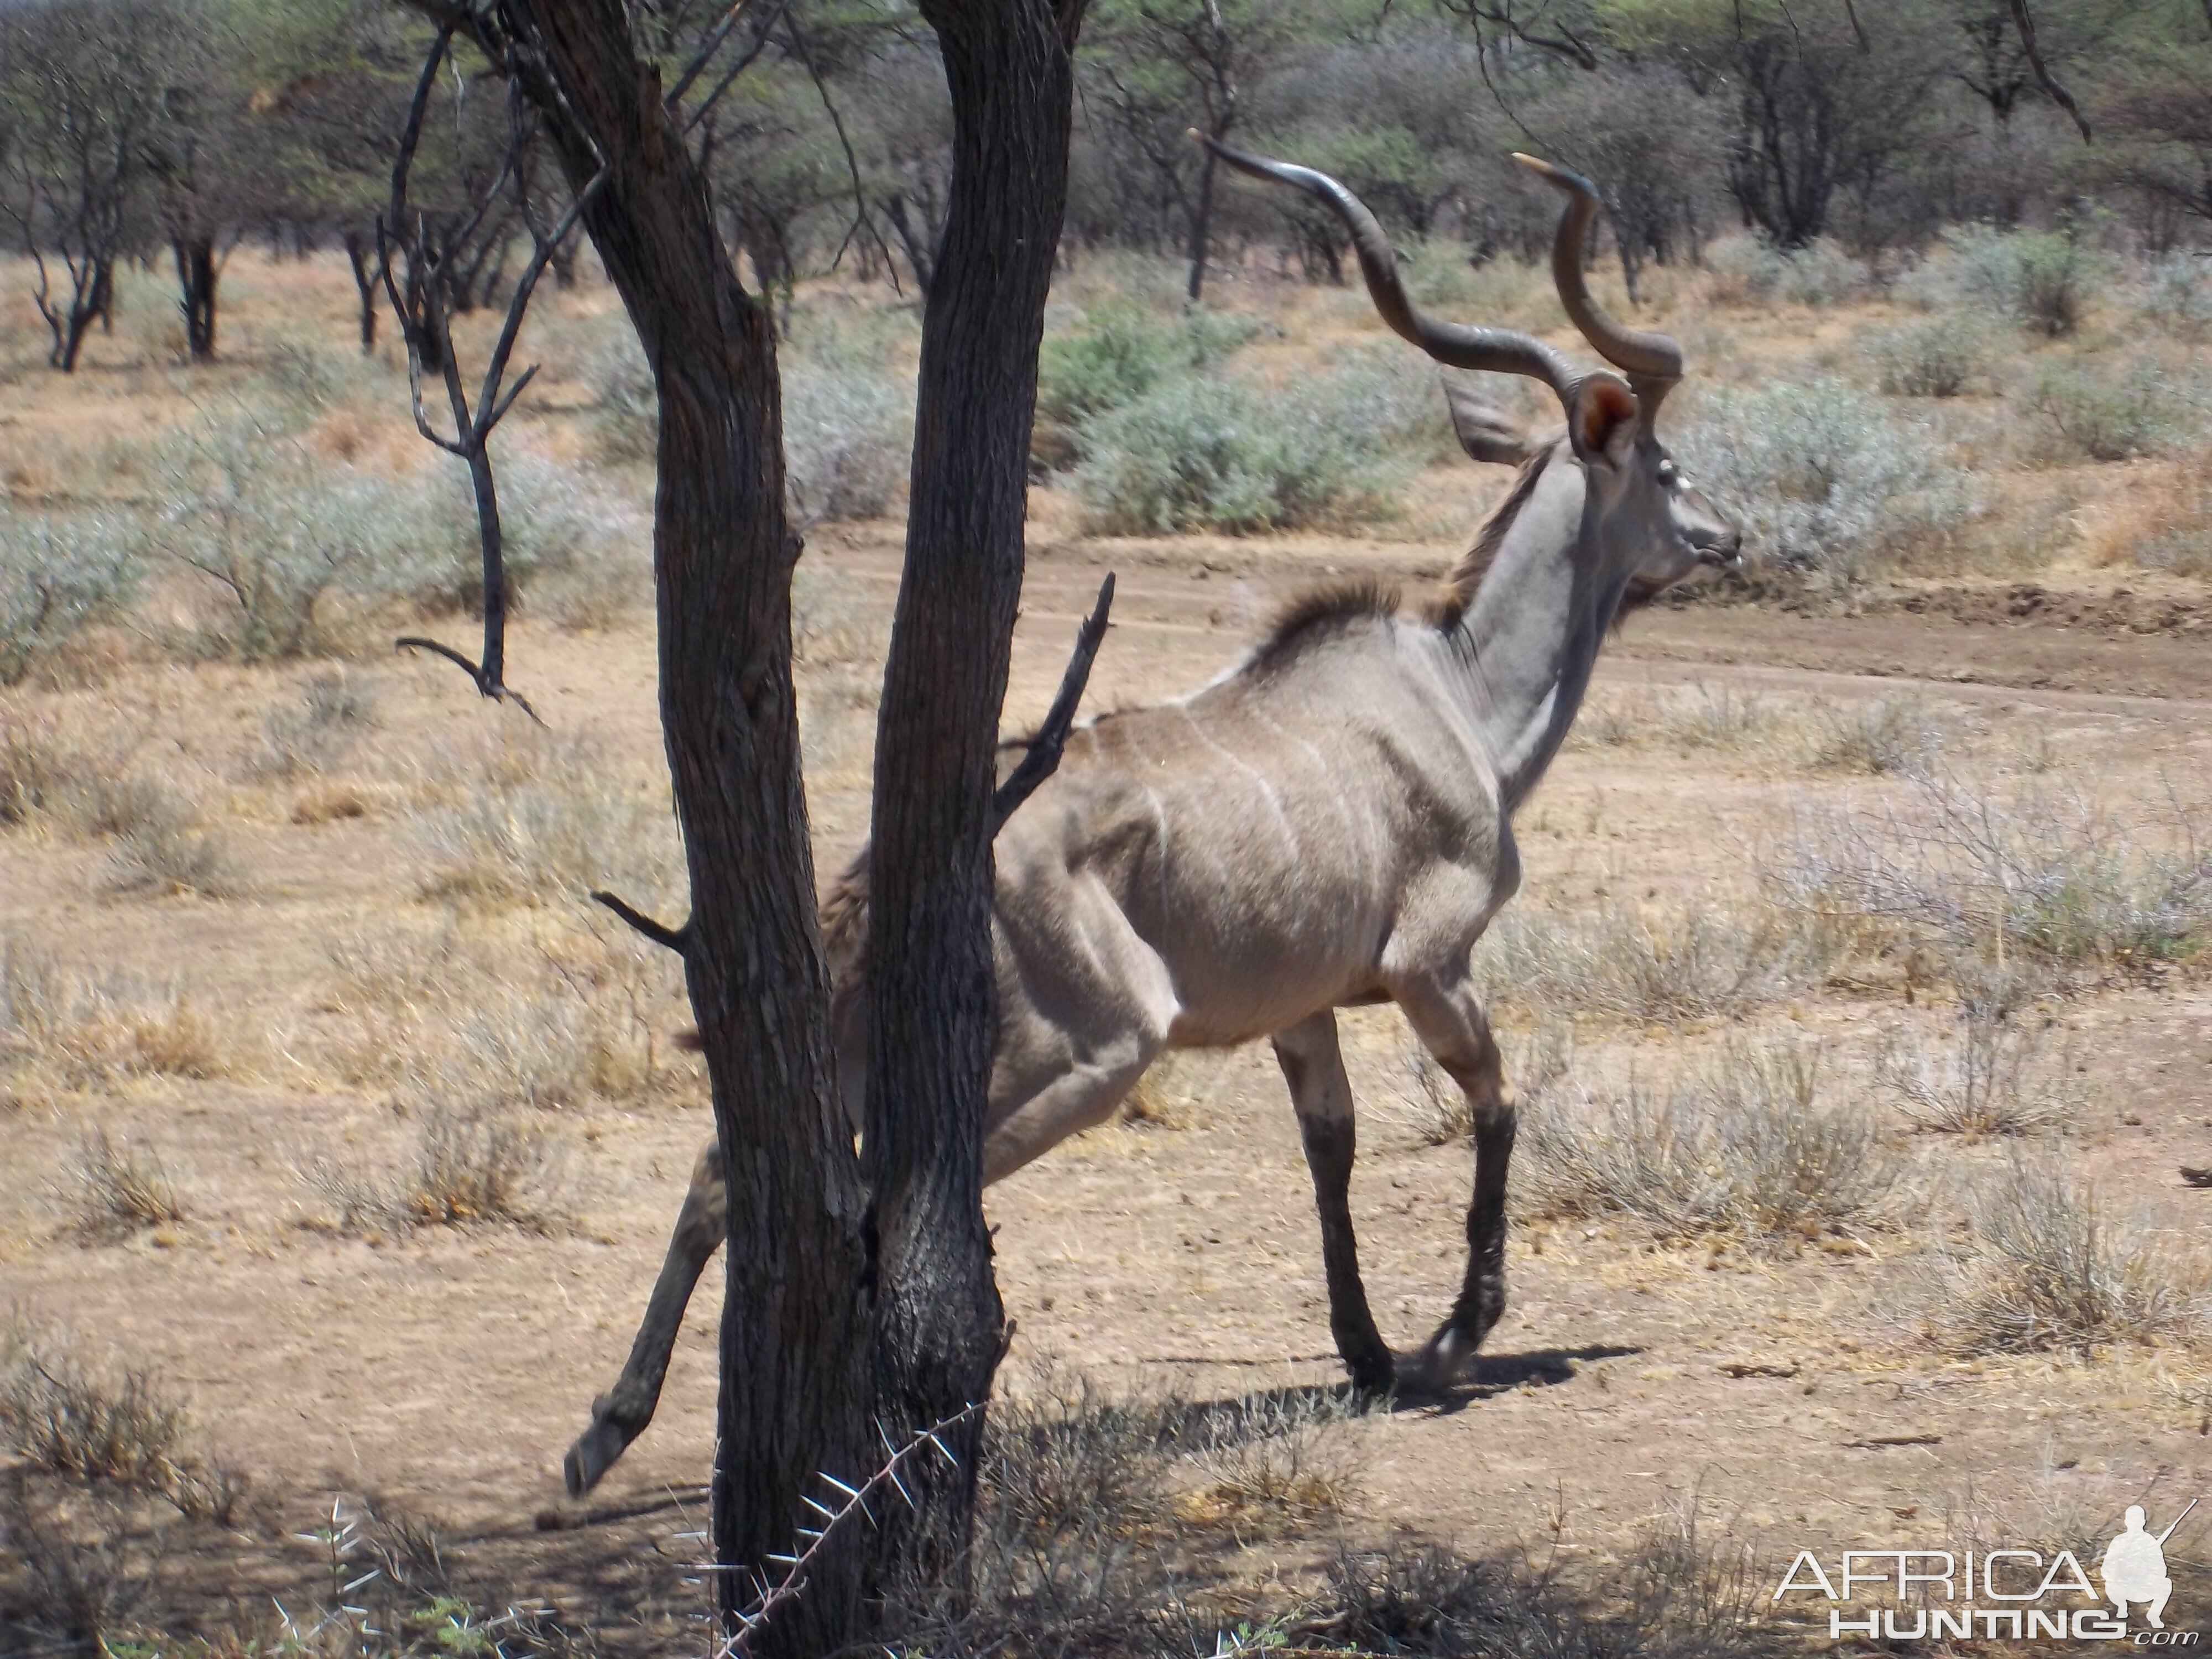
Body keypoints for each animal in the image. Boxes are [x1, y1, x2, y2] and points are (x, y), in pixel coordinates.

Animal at [571, 143, 1743, 1504]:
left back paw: (601, 1435)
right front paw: (1454, 1336)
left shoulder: (1302, 1011)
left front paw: (1367, 1353)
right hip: (1098, 1047)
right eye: (1666, 466)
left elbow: (1331, 1153)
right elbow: (1498, 1106)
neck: (1455, 691)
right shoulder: (1429, 968)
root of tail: (886, 873)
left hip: (882, 1043)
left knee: (736, 1179)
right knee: (872, 1208)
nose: (1728, 538)